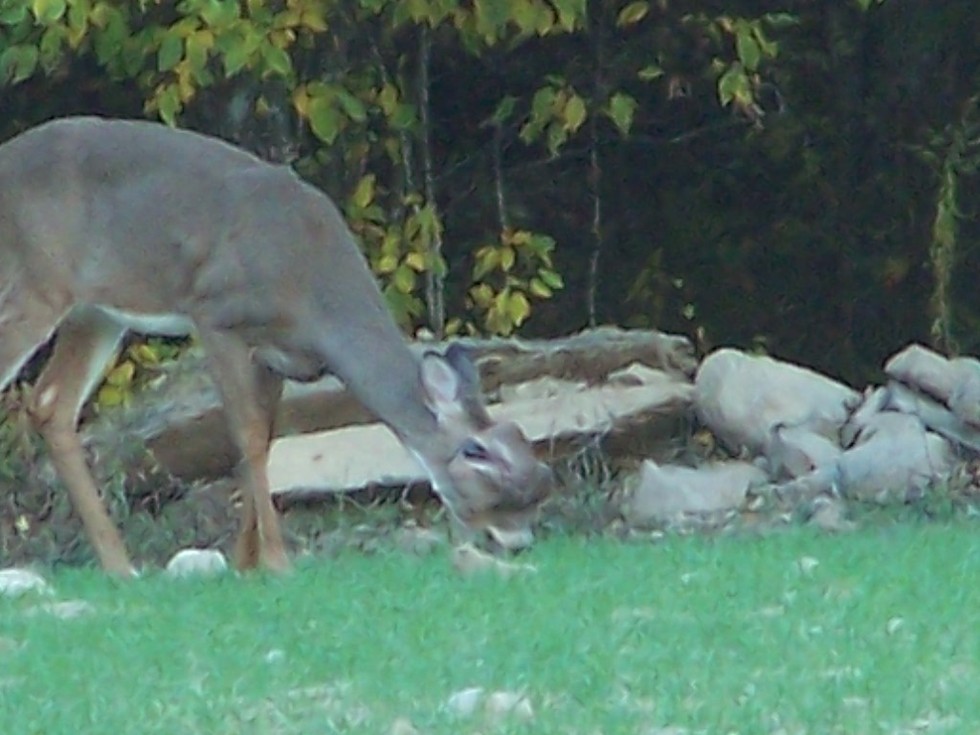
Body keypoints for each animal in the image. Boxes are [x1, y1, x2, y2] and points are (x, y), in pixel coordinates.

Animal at [0, 116, 552, 577]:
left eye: (520, 437)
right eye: (477, 451)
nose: (519, 534)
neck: (313, 293)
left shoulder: (277, 356)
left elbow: (264, 440)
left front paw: (247, 563)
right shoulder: (215, 312)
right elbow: (244, 435)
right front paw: (278, 561)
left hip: (96, 310)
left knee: (51, 404)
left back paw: (121, 567)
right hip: (33, 286)